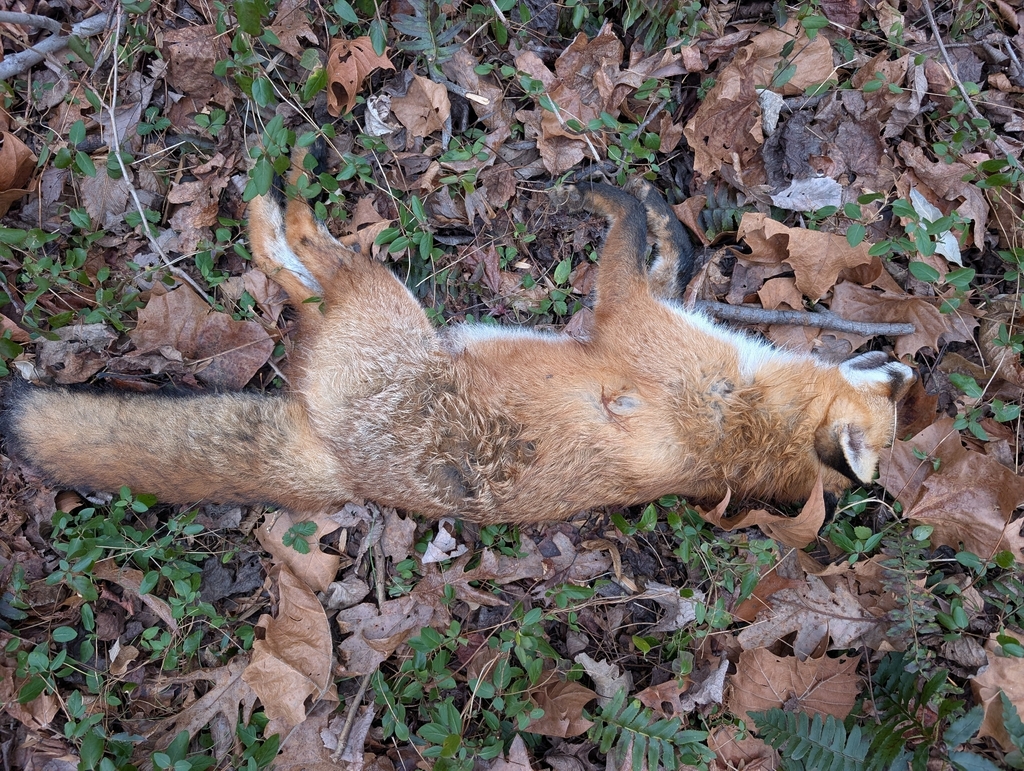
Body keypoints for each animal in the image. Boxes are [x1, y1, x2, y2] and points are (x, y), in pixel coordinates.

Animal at [2, 174, 914, 524]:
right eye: (893, 403)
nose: (907, 363)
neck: (747, 419)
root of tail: (347, 471)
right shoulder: (649, 315)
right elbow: (661, 254)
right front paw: (659, 216)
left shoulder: (624, 322)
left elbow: (620, 249)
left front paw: (607, 195)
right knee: (299, 277)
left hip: (378, 304)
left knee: (303, 264)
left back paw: (280, 200)